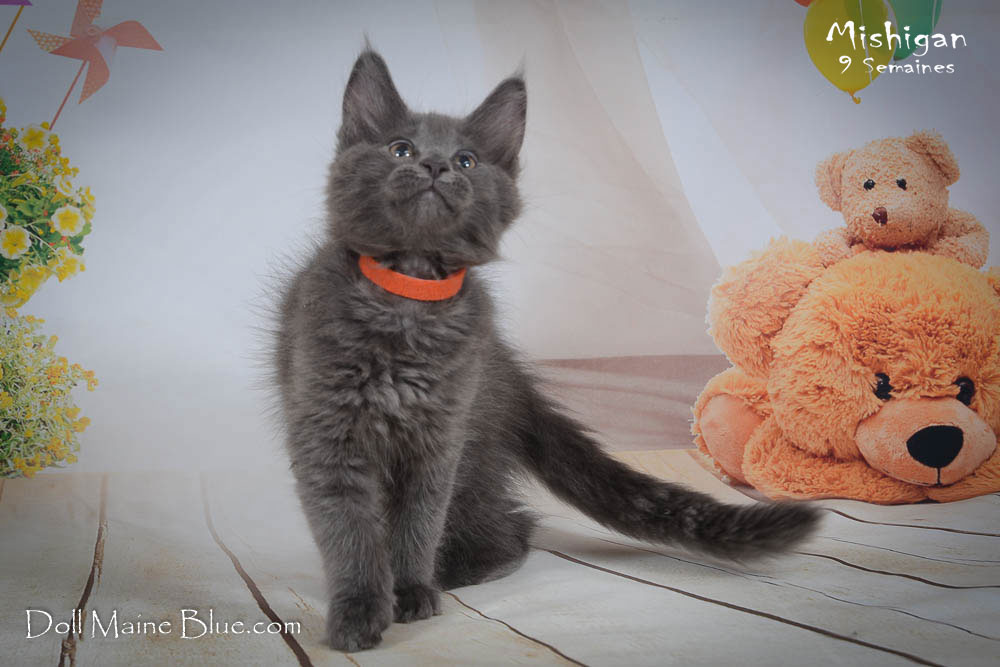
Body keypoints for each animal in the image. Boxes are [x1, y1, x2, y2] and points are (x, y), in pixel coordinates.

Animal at [274, 49, 820, 652]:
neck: (409, 299)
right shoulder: (329, 431)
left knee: (513, 529)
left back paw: (453, 571)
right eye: (401, 149)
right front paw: (358, 610)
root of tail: (513, 376)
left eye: (466, 160)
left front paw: (409, 590)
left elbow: (416, 523)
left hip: (473, 454)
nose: (437, 167)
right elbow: (350, 530)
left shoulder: (440, 440)